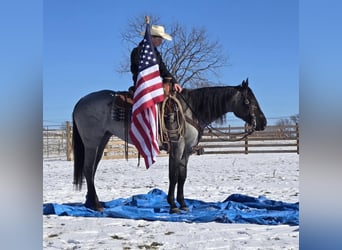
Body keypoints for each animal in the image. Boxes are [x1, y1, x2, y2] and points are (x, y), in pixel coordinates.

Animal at [72, 78, 268, 213]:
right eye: (249, 101)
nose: (263, 123)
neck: (191, 111)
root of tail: (80, 101)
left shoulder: (186, 151)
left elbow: (182, 175)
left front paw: (182, 203)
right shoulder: (177, 147)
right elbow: (173, 175)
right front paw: (173, 205)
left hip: (102, 141)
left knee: (91, 170)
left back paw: (91, 202)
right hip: (91, 142)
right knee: (88, 169)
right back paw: (97, 205)